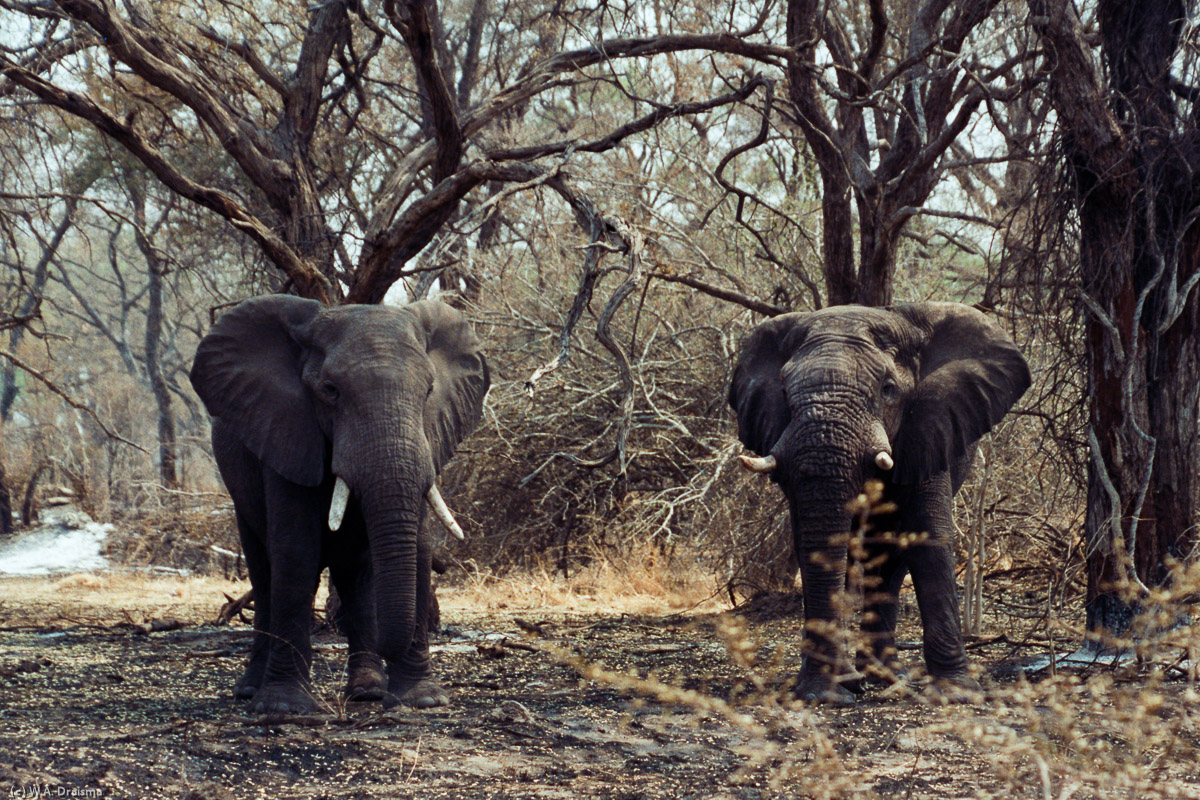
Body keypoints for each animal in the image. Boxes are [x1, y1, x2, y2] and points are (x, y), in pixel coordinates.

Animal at [187, 296, 487, 714]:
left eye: (428, 391)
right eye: (331, 390)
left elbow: (418, 548)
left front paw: (422, 699)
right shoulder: (287, 431)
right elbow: (296, 550)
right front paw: (285, 707)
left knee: (353, 575)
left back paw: (367, 691)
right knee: (264, 573)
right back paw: (249, 690)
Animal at [724, 303, 1036, 705]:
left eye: (888, 389)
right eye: (783, 391)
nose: (827, 693)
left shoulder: (927, 430)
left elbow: (926, 536)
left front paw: (957, 693)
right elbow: (813, 542)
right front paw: (826, 692)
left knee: (889, 553)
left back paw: (886, 678)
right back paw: (866, 678)